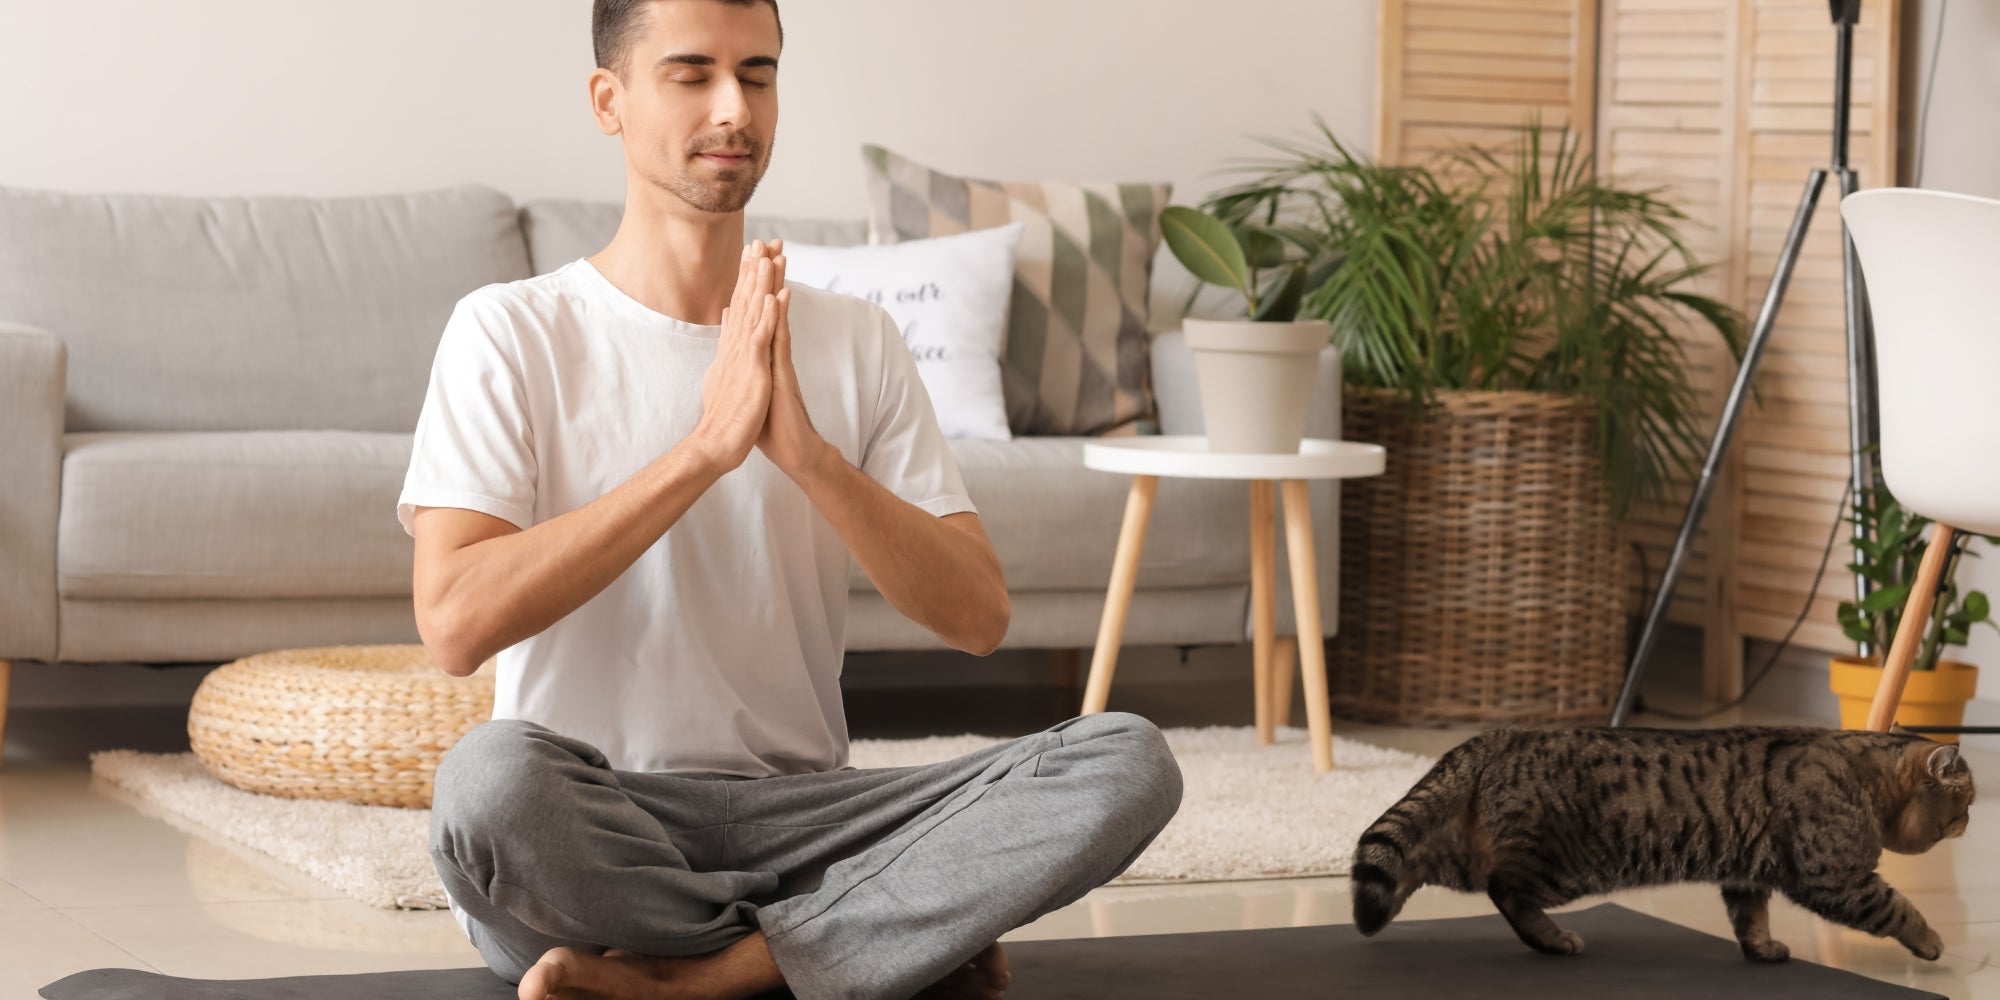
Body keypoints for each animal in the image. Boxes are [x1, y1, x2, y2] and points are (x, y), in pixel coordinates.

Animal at [1352, 728, 1976, 960]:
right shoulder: (1836, 878)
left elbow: (1751, 920)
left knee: (1413, 859)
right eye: (1967, 799)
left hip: (1468, 849)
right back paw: (1554, 939)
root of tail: (1499, 735)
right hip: (1559, 864)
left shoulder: (1747, 874)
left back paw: (1378, 914)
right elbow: (1898, 907)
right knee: (1505, 890)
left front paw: (1763, 950)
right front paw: (1931, 941)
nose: (1971, 821)